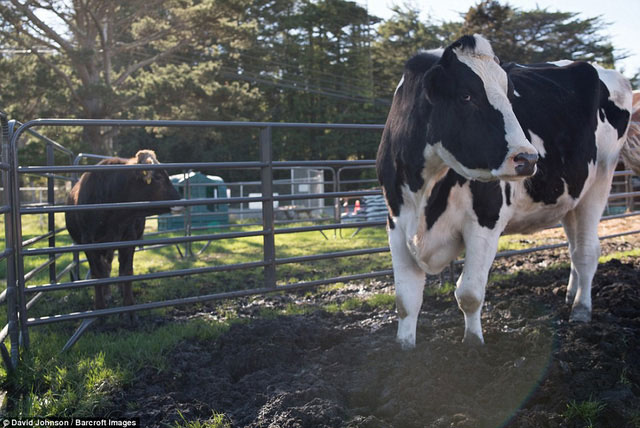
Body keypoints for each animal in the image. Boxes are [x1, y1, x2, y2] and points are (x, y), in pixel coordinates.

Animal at [65, 150, 181, 315]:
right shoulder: (88, 242)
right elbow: (97, 273)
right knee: (105, 267)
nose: (180, 201)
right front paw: (100, 307)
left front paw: (129, 308)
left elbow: (126, 271)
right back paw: (107, 293)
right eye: (158, 177)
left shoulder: (128, 239)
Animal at [376, 34, 638, 349]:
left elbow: (469, 293)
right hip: (569, 197)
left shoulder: (485, 220)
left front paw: (473, 346)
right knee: (574, 248)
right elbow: (406, 300)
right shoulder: (396, 222)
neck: (425, 190)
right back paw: (569, 294)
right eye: (466, 96)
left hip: (599, 181)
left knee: (587, 251)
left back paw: (581, 309)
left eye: (510, 96)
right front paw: (405, 350)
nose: (528, 158)